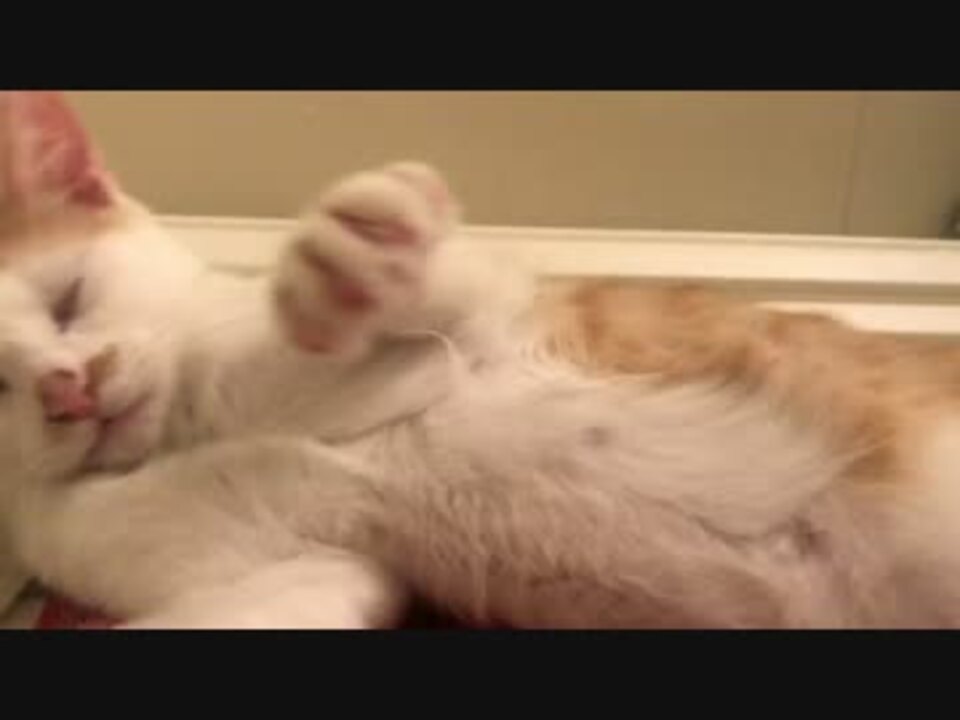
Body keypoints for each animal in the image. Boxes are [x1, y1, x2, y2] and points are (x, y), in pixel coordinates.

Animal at [2, 91, 960, 628]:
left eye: (69, 297)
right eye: (3, 382)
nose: (68, 389)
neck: (176, 435)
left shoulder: (494, 312)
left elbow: (408, 305)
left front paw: (352, 268)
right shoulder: (315, 570)